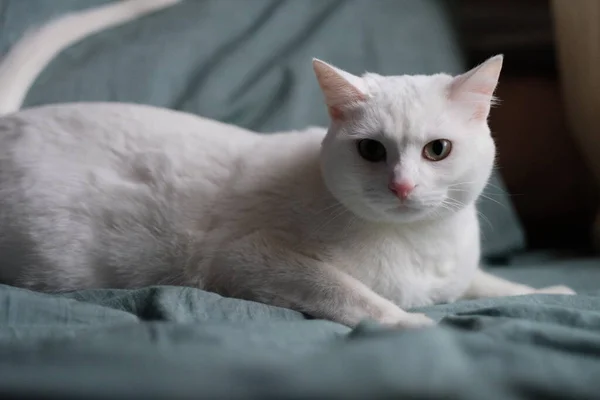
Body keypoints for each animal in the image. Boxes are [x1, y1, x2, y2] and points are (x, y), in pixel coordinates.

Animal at [0, 0, 576, 328]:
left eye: (437, 150)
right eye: (372, 150)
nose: (403, 186)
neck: (420, 244)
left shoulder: (455, 274)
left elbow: (483, 282)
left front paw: (545, 292)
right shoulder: (251, 259)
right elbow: (359, 298)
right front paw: (415, 325)